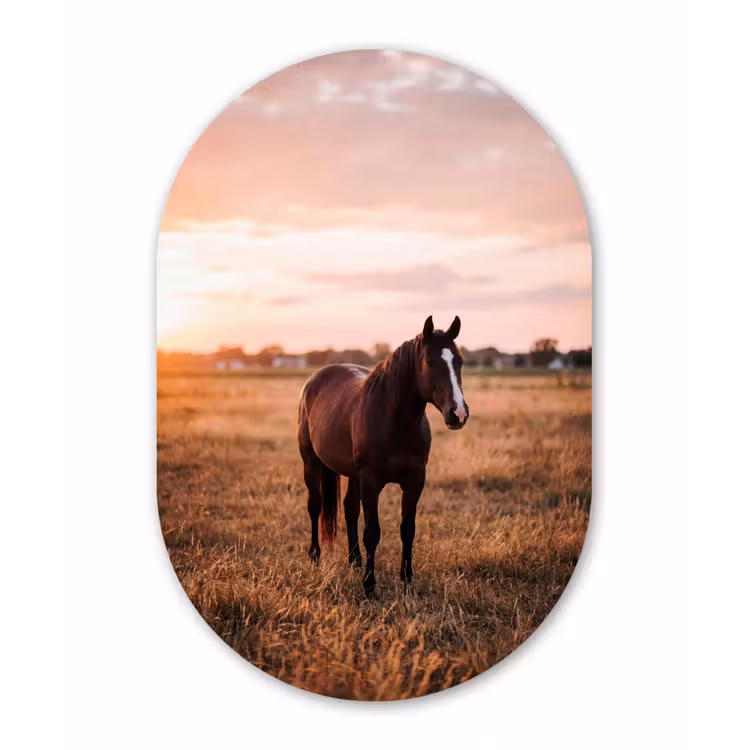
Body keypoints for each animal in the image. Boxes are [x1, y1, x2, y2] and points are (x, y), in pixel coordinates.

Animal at [296, 315, 469, 598]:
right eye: (431, 362)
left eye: (459, 361)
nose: (459, 413)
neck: (394, 421)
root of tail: (315, 380)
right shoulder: (371, 481)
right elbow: (373, 533)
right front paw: (369, 587)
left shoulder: (414, 481)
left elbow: (407, 529)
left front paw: (407, 580)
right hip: (311, 463)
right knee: (315, 506)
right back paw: (315, 556)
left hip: (352, 474)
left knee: (349, 508)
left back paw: (355, 561)